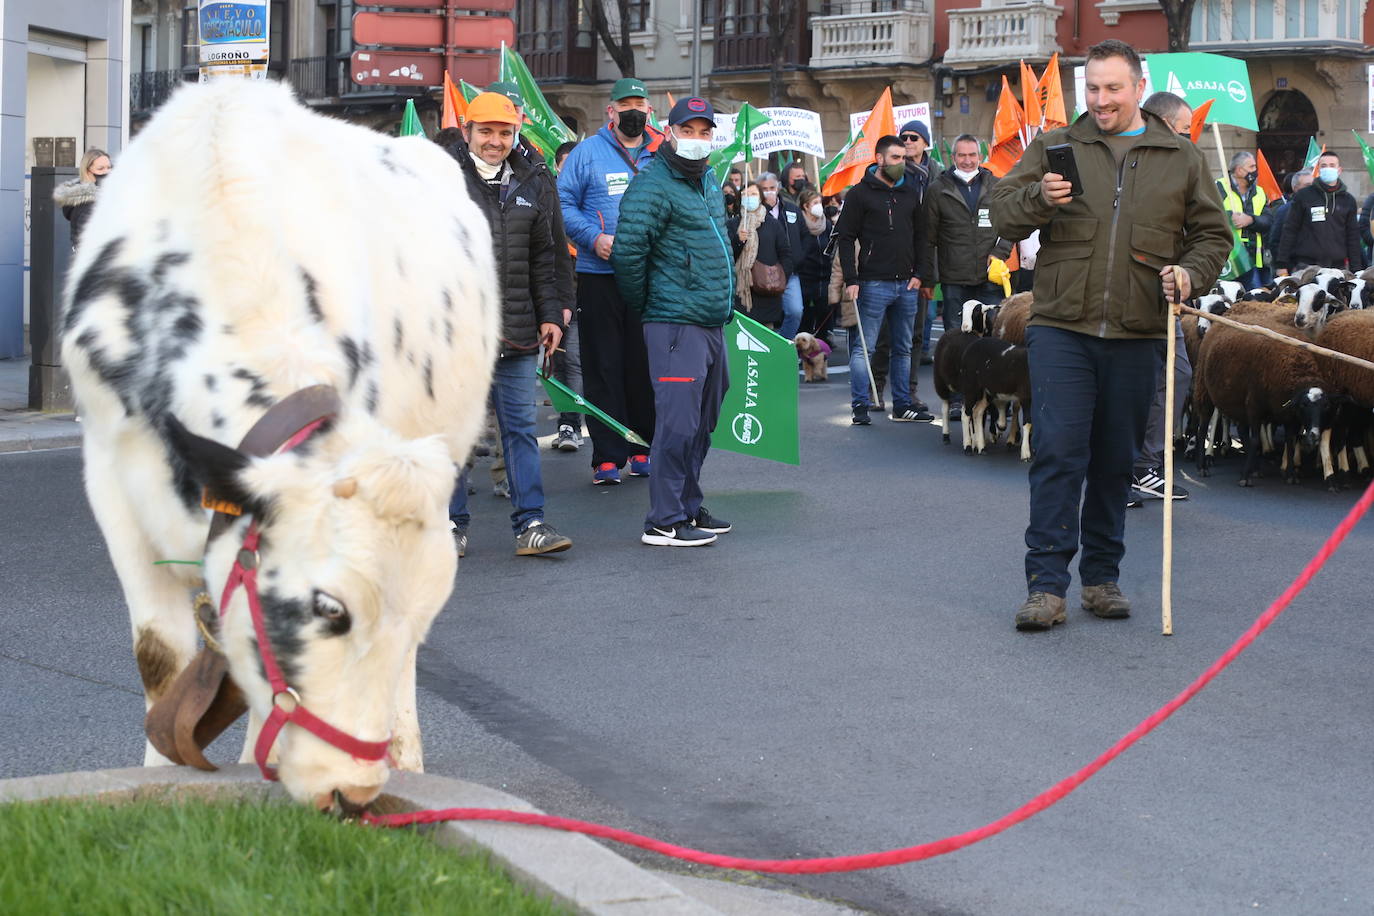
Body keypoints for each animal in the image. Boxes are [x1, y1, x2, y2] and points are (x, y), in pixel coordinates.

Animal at [63, 78, 500, 807]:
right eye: (328, 607)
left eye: (425, 615)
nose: (352, 794)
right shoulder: (109, 479)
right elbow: (161, 656)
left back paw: (407, 755)